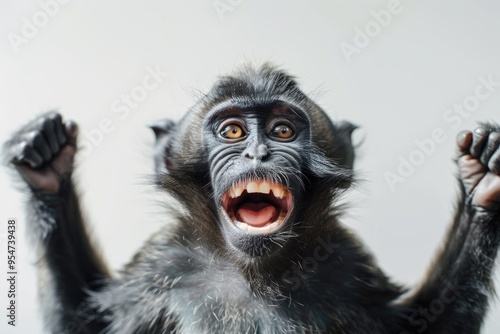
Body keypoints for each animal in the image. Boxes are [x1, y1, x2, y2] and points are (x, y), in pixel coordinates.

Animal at [3, 64, 500, 332]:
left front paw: (481, 181)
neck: (255, 274)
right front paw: (46, 169)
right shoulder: (162, 264)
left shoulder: (347, 264)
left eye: (282, 130)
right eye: (232, 132)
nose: (258, 153)